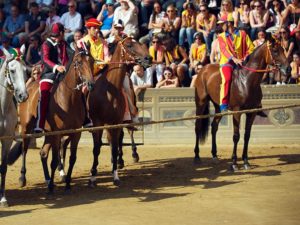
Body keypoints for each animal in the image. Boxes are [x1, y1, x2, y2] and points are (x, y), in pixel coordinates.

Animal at [8, 46, 94, 193]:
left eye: (92, 61)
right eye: (79, 62)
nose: (90, 84)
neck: (68, 97)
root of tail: (28, 87)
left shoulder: (75, 133)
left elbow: (72, 158)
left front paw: (67, 183)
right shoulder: (57, 134)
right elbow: (54, 161)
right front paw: (51, 187)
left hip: (48, 134)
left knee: (43, 153)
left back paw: (48, 179)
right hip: (26, 128)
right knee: (25, 150)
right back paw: (23, 178)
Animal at [88, 37, 151, 185]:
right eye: (129, 45)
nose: (148, 58)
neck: (108, 91)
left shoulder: (115, 122)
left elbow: (115, 146)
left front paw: (115, 175)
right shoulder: (98, 122)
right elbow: (97, 148)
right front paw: (93, 175)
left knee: (125, 135)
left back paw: (130, 155)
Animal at [193, 39, 290, 171]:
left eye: (283, 49)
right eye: (275, 51)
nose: (288, 69)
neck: (246, 81)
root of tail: (203, 69)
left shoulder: (252, 113)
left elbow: (247, 136)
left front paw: (245, 161)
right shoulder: (237, 112)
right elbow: (236, 136)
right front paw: (234, 163)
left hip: (219, 107)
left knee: (214, 127)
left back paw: (214, 154)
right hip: (201, 103)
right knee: (197, 127)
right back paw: (197, 156)